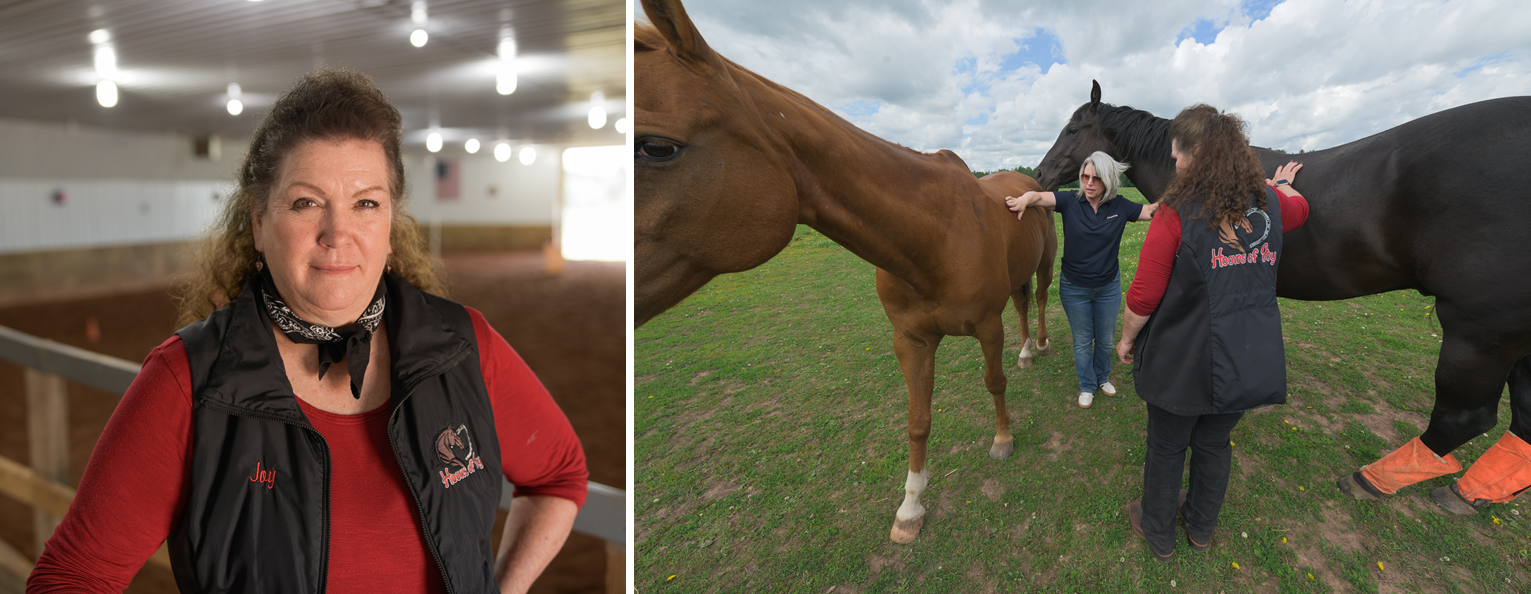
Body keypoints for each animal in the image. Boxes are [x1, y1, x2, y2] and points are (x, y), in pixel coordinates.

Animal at [635, 0, 1058, 543]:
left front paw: (1003, 439)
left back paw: (1037, 345)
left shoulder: (986, 325)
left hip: (1043, 267)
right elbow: (918, 421)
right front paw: (910, 507)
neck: (934, 235)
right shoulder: (911, 340)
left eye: (656, 147)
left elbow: (994, 382)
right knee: (1023, 305)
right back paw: (1026, 350)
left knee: (1039, 301)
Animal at [1035, 81, 1531, 509]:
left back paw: (1373, 479)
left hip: (1479, 331)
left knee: (1463, 417)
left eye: (1074, 129)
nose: (1038, 173)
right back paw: (1473, 492)